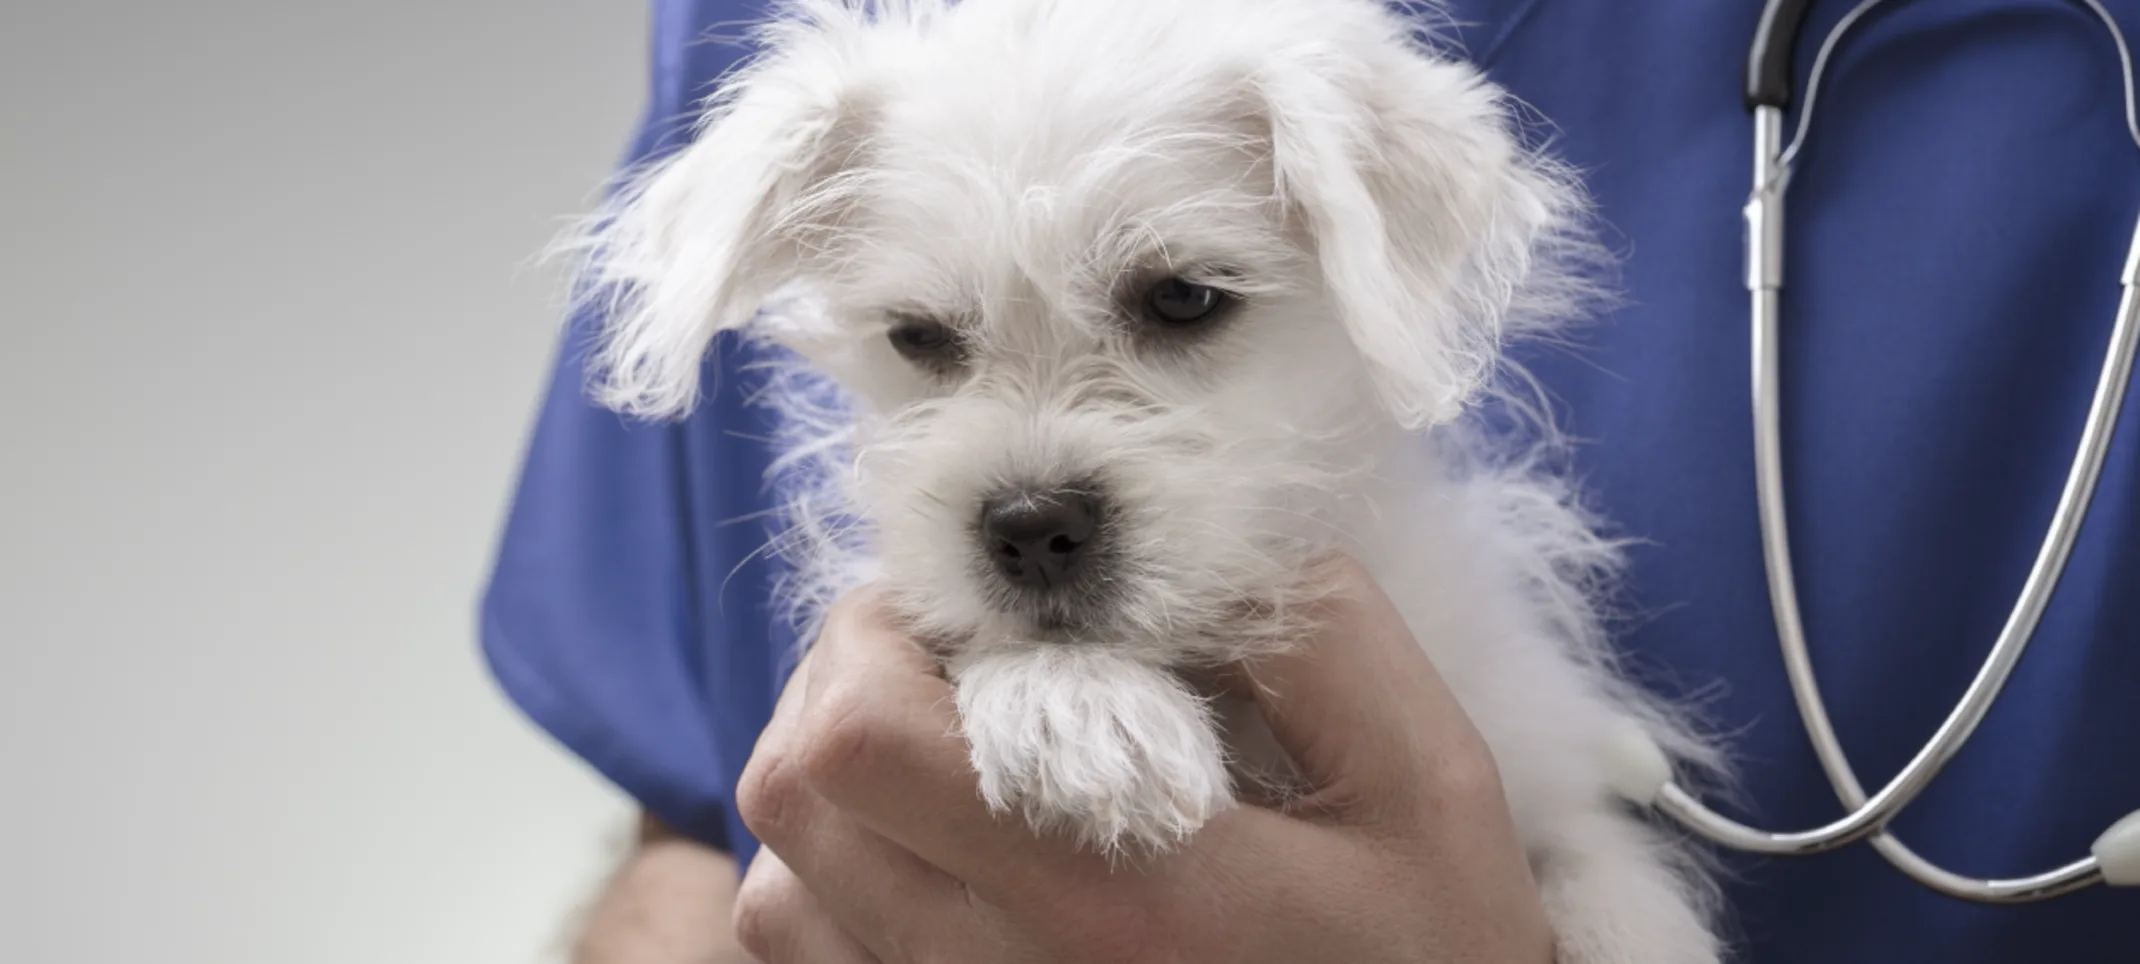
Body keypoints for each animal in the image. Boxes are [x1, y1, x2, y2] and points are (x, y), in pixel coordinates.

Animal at [564, 3, 1720, 959]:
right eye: (917, 337)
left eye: (1182, 297)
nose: (1029, 526)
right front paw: (1075, 709)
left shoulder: (1532, 759)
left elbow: (1599, 866)